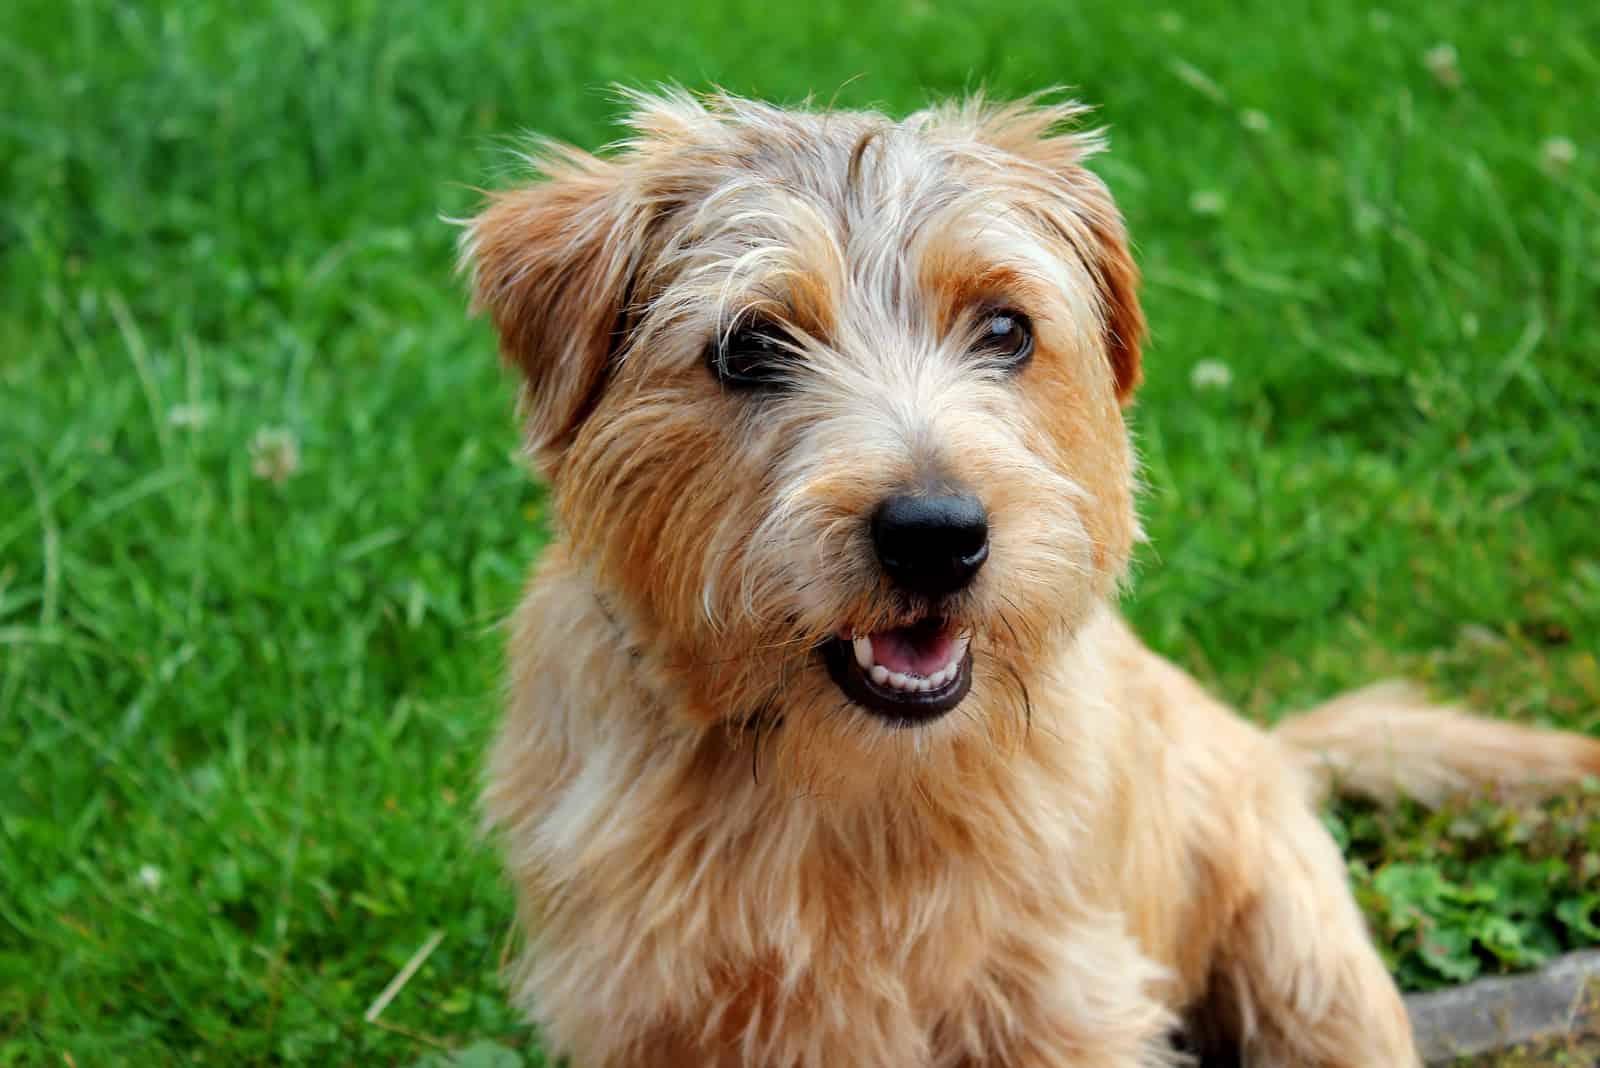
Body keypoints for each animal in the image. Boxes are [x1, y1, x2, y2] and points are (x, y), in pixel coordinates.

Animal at [454, 93, 1600, 1068]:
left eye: (1005, 327)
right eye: (748, 347)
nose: (935, 534)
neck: (848, 795)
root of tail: (1264, 747)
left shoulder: (1064, 998)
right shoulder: (647, 1009)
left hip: (1308, 968)